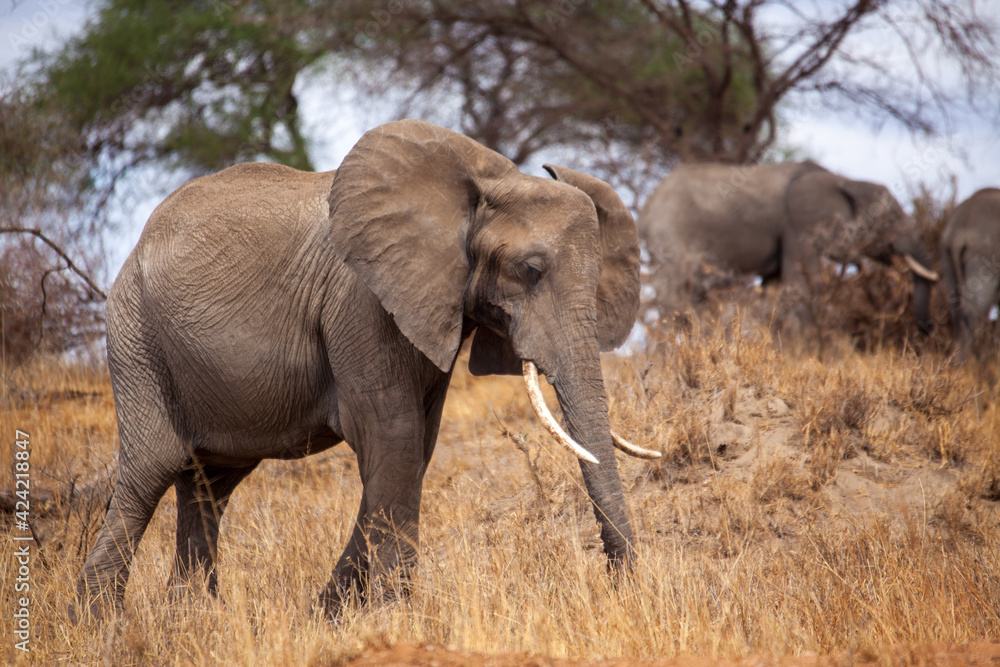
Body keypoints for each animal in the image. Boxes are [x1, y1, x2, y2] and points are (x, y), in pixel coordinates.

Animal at [72, 119, 660, 622]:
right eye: (530, 270)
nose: (624, 589)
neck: (487, 180)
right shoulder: (361, 302)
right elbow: (394, 439)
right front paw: (395, 616)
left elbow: (415, 450)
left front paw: (331, 613)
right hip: (135, 336)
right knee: (149, 473)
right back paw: (101, 624)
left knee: (208, 483)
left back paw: (193, 618)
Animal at [638, 161, 939, 332]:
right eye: (889, 220)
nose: (926, 330)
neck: (844, 180)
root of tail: (648, 203)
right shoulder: (798, 225)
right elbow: (803, 285)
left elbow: (774, 287)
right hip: (671, 232)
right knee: (673, 296)